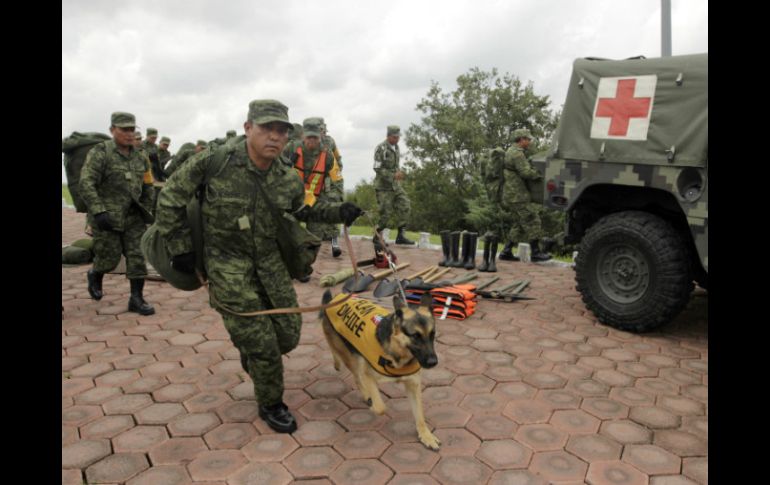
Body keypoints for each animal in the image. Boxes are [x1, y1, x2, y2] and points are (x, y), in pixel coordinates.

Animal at [318, 288, 438, 450]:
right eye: (415, 336)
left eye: (432, 334)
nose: (433, 362)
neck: (398, 354)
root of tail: (334, 299)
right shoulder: (368, 375)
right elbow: (381, 408)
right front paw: (373, 406)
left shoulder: (413, 386)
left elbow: (420, 415)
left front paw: (426, 436)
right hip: (351, 357)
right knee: (352, 370)